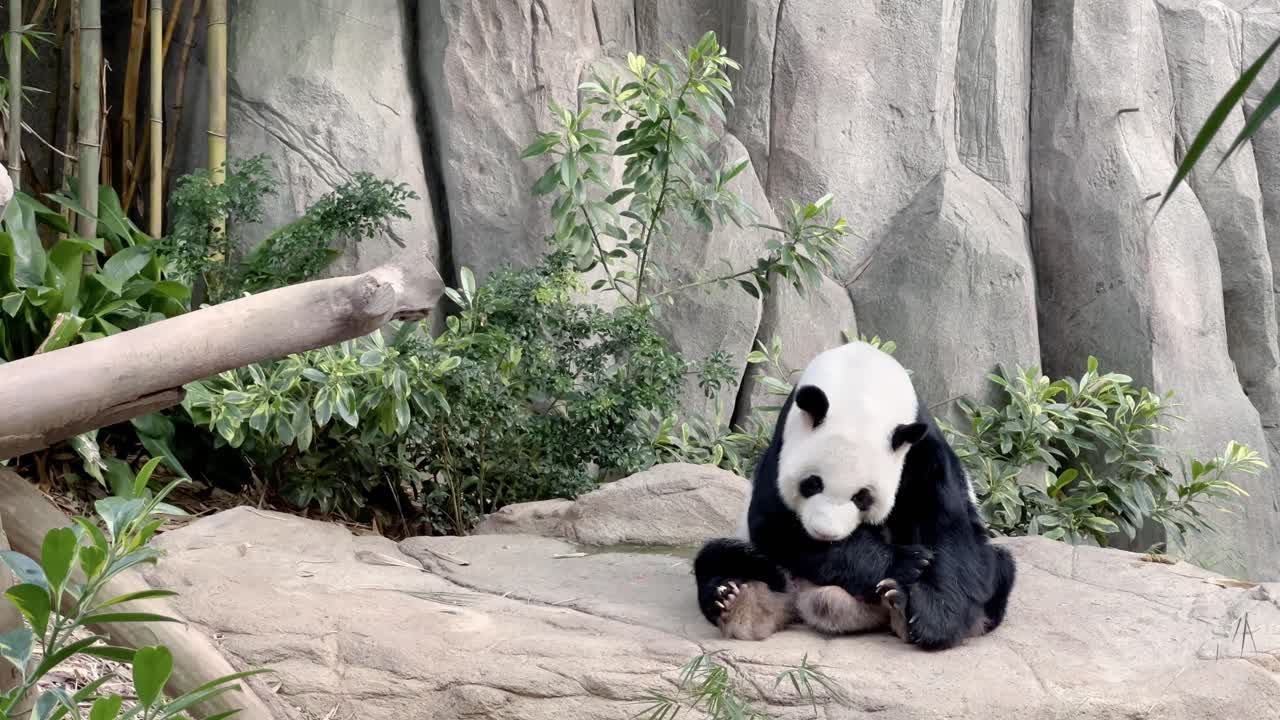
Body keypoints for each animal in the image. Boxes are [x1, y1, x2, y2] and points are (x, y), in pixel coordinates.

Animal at [693, 340, 1016, 650]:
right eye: (812, 484)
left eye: (862, 497)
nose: (825, 534)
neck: (860, 383)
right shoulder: (781, 445)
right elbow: (775, 525)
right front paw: (906, 561)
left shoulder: (921, 451)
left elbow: (947, 527)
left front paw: (931, 619)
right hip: (765, 564)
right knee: (723, 558)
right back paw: (733, 600)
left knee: (999, 568)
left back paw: (900, 605)